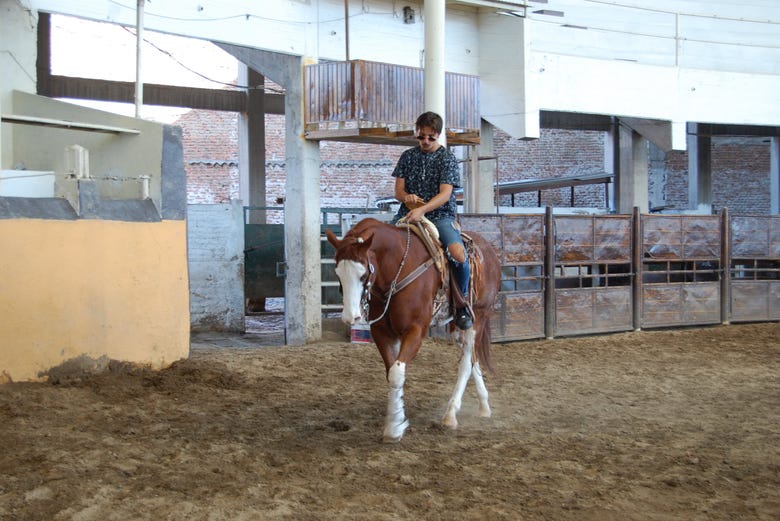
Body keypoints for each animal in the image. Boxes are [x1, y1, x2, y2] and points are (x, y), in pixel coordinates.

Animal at [324, 217, 500, 440]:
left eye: (363, 275)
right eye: (338, 273)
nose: (350, 316)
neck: (396, 269)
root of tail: (489, 250)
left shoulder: (415, 331)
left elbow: (398, 373)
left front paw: (395, 426)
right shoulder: (383, 333)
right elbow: (391, 373)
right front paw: (396, 417)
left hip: (479, 317)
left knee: (466, 362)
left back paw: (451, 414)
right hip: (456, 327)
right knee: (473, 357)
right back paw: (484, 405)